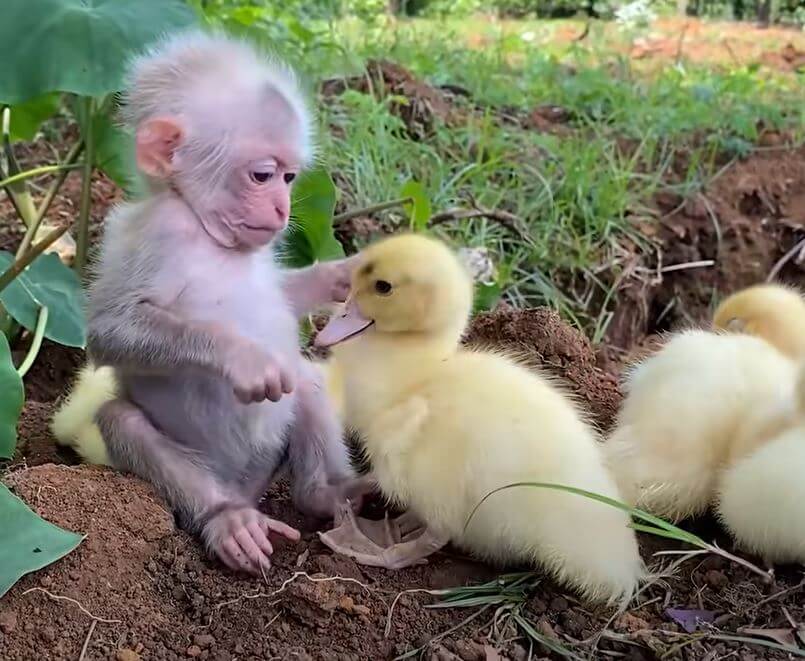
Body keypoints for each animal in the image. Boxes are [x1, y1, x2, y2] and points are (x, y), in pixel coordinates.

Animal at [86, 32, 362, 572]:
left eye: (290, 178)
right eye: (262, 176)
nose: (281, 210)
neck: (206, 231)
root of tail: (245, 486)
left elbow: (284, 299)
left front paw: (340, 276)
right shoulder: (158, 233)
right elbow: (108, 330)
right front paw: (242, 357)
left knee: (305, 376)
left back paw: (329, 493)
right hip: (206, 471)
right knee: (121, 419)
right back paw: (227, 519)